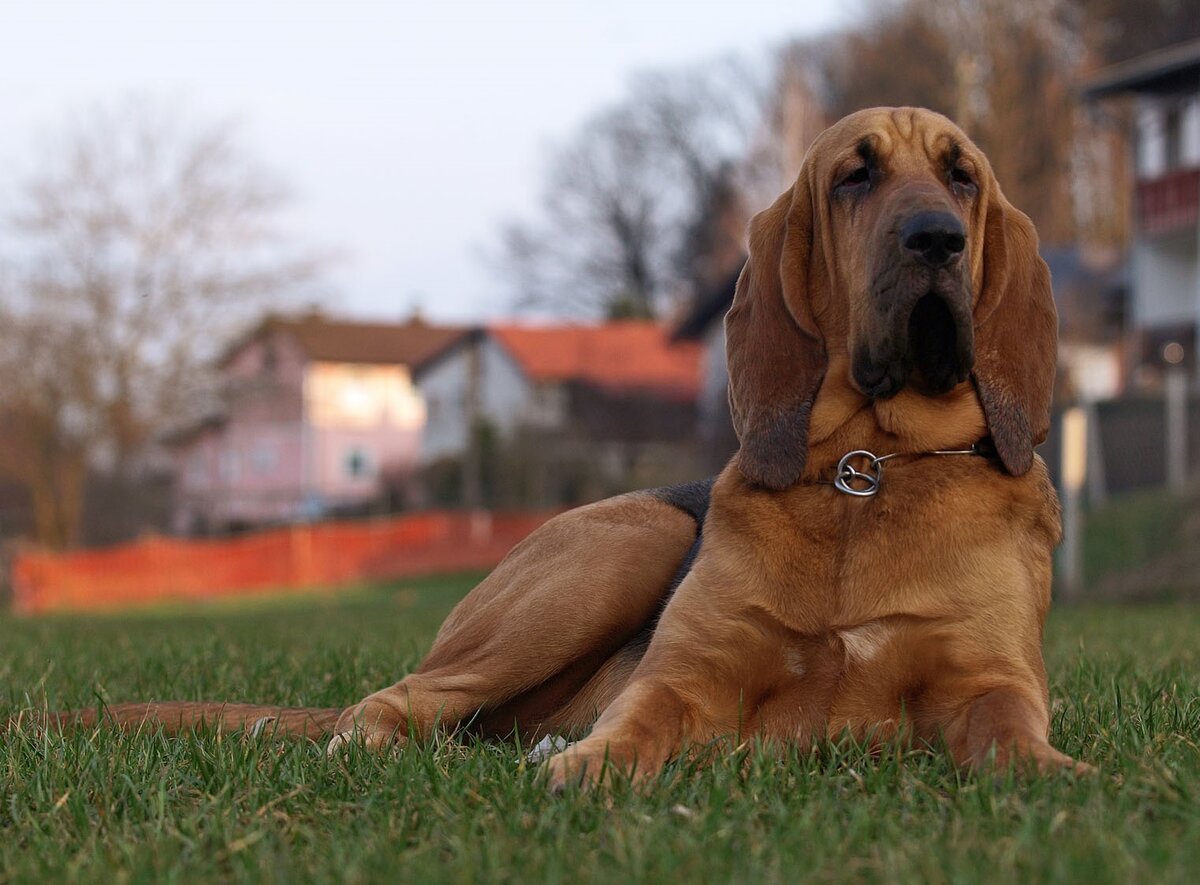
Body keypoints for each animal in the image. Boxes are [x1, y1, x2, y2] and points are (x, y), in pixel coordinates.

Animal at [30, 106, 1089, 781]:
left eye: (962, 176)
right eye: (854, 176)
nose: (936, 238)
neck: (865, 471)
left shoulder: (988, 676)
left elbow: (1008, 727)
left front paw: (1055, 773)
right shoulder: (687, 672)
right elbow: (642, 716)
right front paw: (595, 765)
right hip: (621, 548)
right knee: (395, 700)